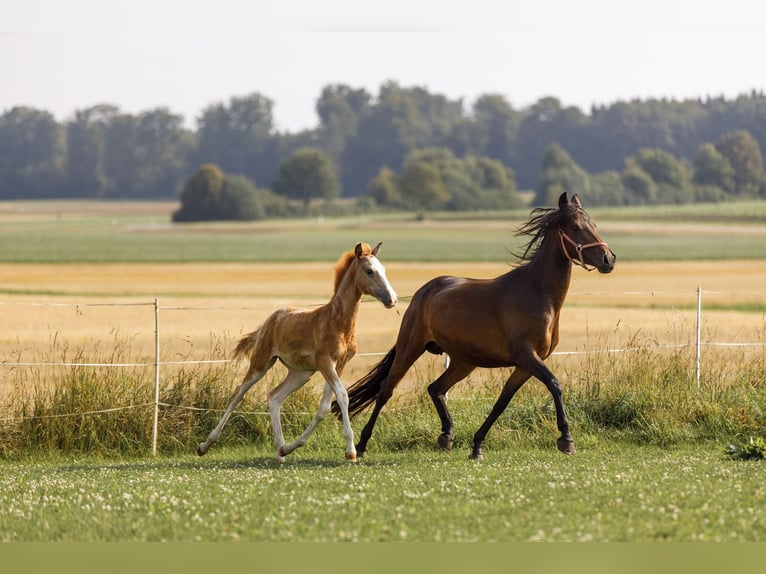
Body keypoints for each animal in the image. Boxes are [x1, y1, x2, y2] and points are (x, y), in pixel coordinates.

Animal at [197, 242, 398, 463]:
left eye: (384, 270)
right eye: (369, 271)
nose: (392, 299)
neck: (338, 322)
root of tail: (270, 319)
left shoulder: (339, 364)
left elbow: (324, 407)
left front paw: (291, 448)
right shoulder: (325, 362)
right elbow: (342, 396)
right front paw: (351, 451)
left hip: (301, 373)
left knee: (274, 396)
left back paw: (280, 452)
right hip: (262, 362)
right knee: (238, 393)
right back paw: (204, 446)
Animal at [333, 193, 615, 459]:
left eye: (594, 224)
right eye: (576, 227)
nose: (608, 259)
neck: (538, 293)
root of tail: (424, 292)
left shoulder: (525, 364)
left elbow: (503, 401)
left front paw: (477, 445)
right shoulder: (526, 355)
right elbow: (554, 385)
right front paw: (566, 439)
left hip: (463, 361)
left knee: (435, 388)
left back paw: (447, 436)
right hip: (410, 348)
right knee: (386, 391)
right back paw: (362, 444)